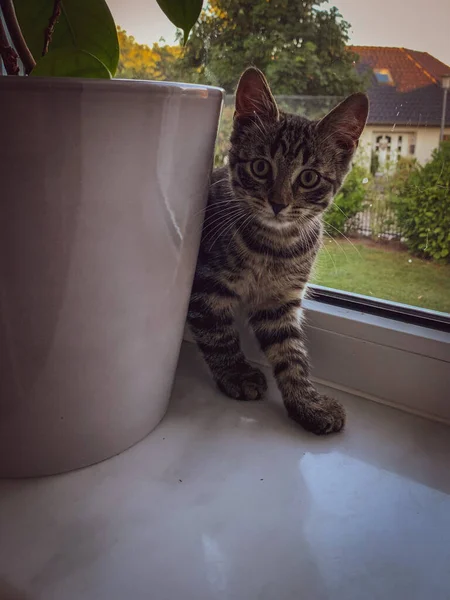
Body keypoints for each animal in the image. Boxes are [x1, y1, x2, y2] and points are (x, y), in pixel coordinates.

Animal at [188, 68, 368, 434]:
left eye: (309, 177)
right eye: (260, 167)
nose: (278, 203)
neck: (275, 245)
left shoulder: (280, 300)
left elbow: (290, 352)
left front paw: (307, 402)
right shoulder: (207, 284)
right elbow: (217, 332)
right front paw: (237, 373)